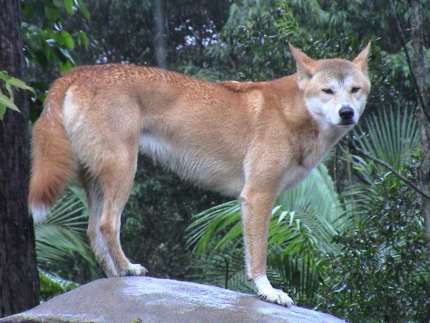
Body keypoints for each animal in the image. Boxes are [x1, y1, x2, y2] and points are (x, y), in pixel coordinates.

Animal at [28, 45, 372, 306]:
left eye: (355, 90)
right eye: (327, 90)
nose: (346, 113)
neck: (295, 112)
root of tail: (80, 72)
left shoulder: (252, 200)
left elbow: (249, 253)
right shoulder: (258, 195)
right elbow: (259, 255)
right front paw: (269, 292)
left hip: (97, 179)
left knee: (92, 231)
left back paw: (114, 277)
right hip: (123, 170)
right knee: (107, 225)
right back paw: (128, 268)